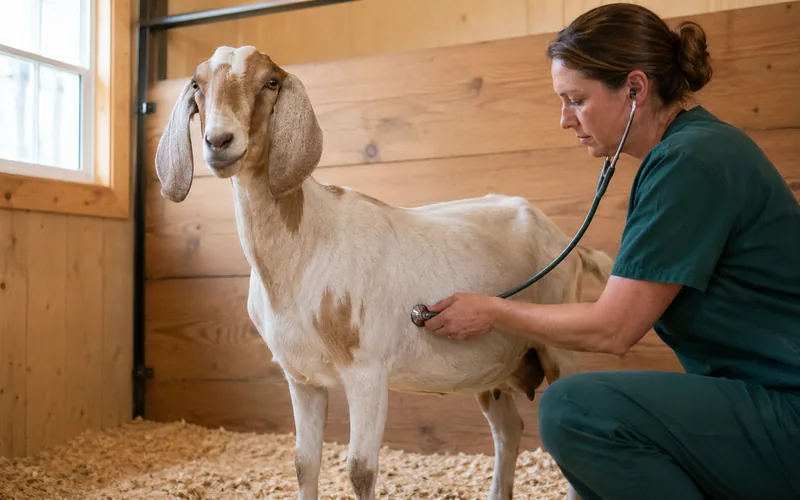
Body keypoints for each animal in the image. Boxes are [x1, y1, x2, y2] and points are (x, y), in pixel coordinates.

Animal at [154, 46, 613, 500]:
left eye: (269, 82)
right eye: (197, 84)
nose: (219, 141)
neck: (306, 249)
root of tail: (569, 244)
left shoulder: (368, 372)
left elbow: (360, 470)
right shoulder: (301, 378)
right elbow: (304, 464)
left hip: (559, 347)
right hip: (492, 370)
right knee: (508, 430)